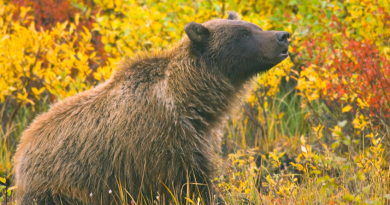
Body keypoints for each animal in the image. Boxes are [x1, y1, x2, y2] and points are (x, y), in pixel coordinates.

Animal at [13, 11, 288, 205]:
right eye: (243, 34)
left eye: (255, 27)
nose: (282, 36)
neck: (192, 101)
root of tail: (23, 143)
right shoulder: (162, 143)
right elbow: (189, 186)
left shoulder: (200, 136)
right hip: (60, 183)